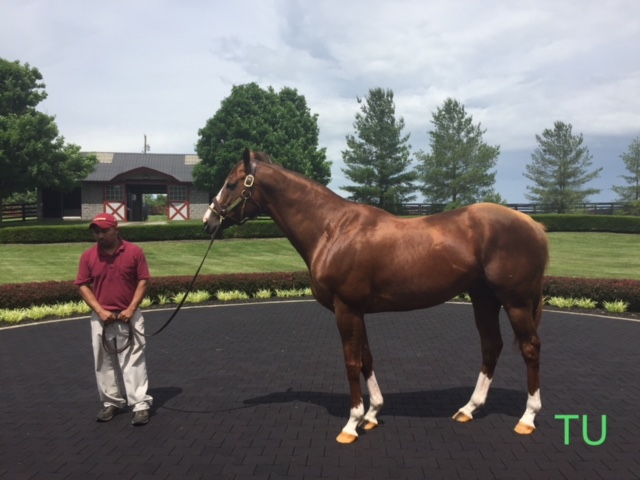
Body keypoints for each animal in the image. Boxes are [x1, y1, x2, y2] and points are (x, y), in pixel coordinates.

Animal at [202, 148, 548, 444]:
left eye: (231, 183)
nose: (209, 221)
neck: (332, 229)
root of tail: (533, 224)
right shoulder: (357, 310)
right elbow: (366, 357)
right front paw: (372, 414)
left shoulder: (346, 308)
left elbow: (351, 361)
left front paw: (351, 423)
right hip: (484, 298)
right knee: (491, 346)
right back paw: (468, 409)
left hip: (515, 302)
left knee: (530, 348)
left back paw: (528, 418)